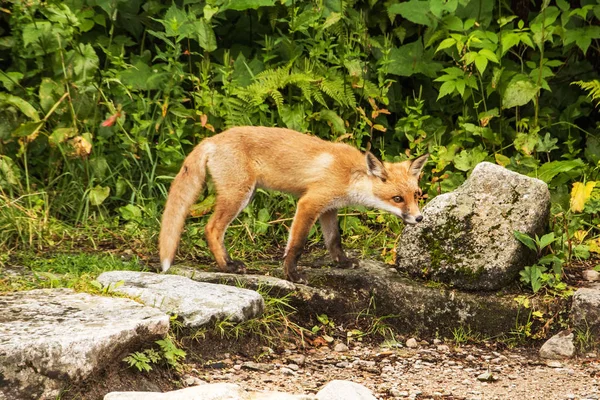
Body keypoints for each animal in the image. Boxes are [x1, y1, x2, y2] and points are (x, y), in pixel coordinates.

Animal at [159, 126, 428, 282]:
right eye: (397, 199)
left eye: (416, 195)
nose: (419, 218)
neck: (351, 175)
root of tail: (212, 139)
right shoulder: (309, 202)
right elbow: (297, 244)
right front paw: (292, 274)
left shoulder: (329, 208)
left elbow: (334, 240)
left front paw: (343, 263)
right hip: (239, 195)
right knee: (212, 229)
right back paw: (228, 266)